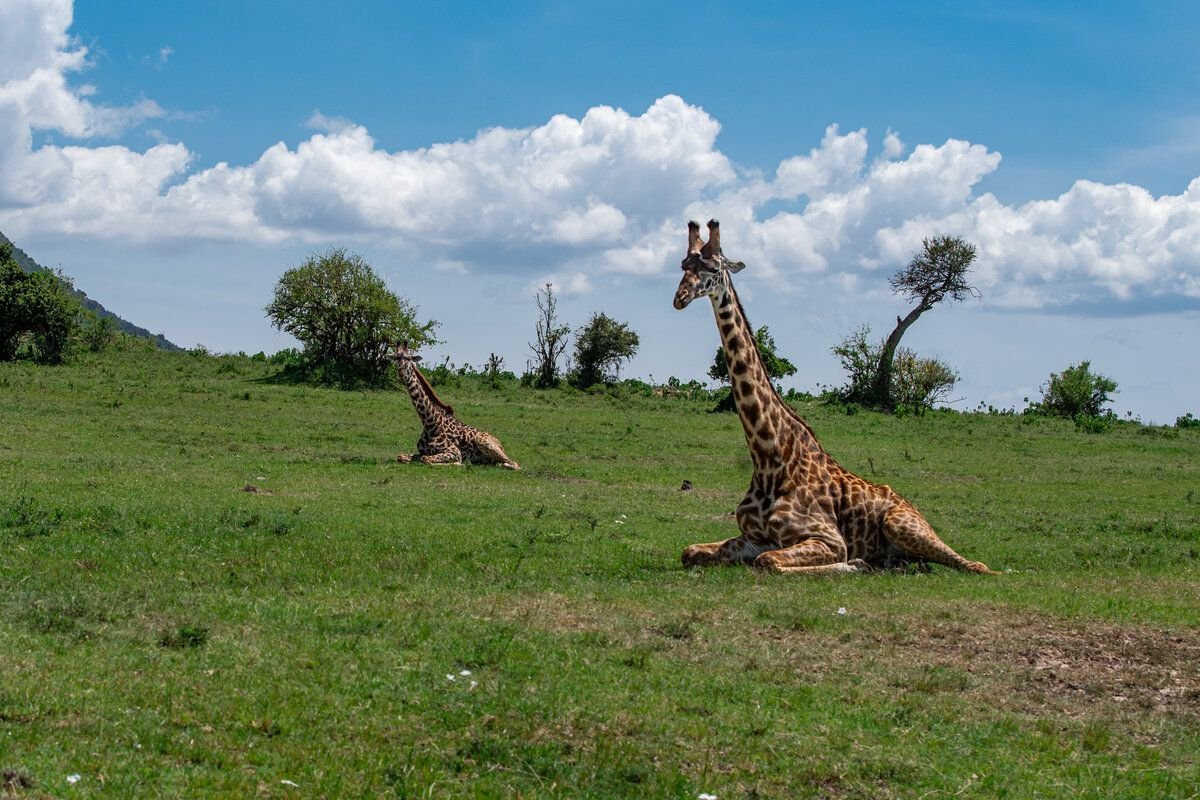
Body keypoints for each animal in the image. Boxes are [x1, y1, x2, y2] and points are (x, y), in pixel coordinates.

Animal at [384, 343, 516, 470]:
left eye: (409, 358)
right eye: (396, 358)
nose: (401, 373)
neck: (430, 423)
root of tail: (499, 443)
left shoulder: (454, 452)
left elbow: (426, 459)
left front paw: (460, 463)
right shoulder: (422, 451)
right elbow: (401, 456)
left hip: (484, 442)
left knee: (513, 464)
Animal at [676, 220, 993, 575]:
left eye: (713, 268)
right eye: (683, 265)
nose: (680, 297)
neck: (769, 457)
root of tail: (911, 506)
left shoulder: (827, 539)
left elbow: (769, 562)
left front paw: (853, 563)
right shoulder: (752, 537)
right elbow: (690, 551)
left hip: (901, 524)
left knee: (977, 566)